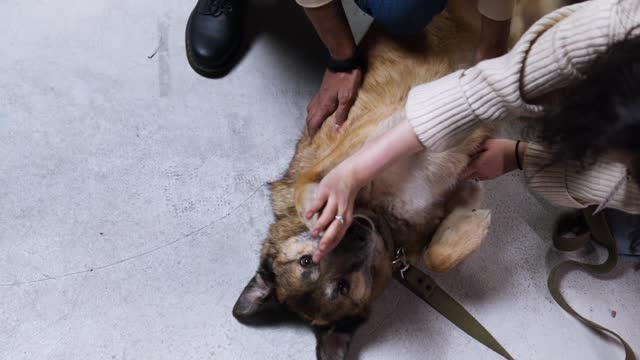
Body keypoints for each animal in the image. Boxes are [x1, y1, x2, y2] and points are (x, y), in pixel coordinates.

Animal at [232, 1, 556, 358]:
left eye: (306, 260)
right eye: (341, 287)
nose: (357, 231)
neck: (382, 214)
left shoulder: (373, 135)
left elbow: (312, 187)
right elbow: (437, 256)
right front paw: (467, 224)